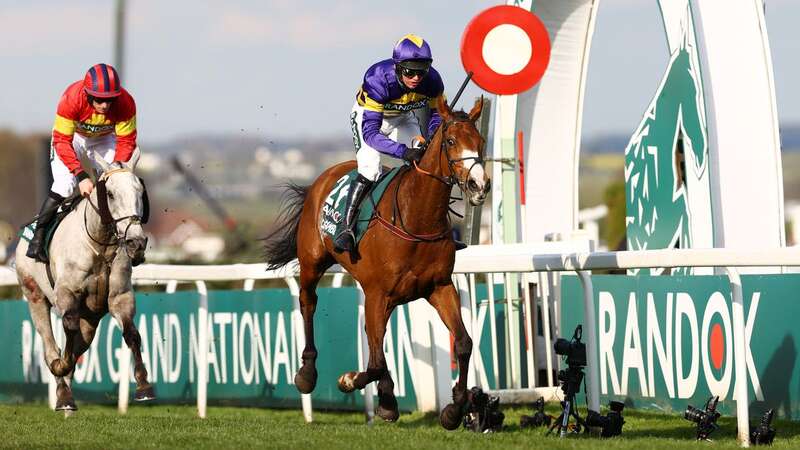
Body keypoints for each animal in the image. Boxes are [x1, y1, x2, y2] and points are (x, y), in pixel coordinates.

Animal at [14, 151, 153, 412]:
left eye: (140, 192)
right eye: (110, 194)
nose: (136, 243)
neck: (101, 246)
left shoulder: (120, 296)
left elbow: (132, 334)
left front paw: (143, 386)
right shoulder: (66, 294)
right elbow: (67, 330)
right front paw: (60, 365)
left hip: (91, 318)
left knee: (80, 343)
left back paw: (65, 394)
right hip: (34, 296)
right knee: (50, 347)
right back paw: (62, 391)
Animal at [264, 96, 488, 428]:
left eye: (480, 141)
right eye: (450, 142)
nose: (479, 185)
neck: (416, 217)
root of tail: (324, 177)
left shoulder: (438, 287)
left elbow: (463, 342)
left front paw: (453, 410)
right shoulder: (377, 293)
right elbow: (377, 360)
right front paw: (350, 381)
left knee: (374, 339)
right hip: (314, 263)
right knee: (308, 304)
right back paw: (307, 374)